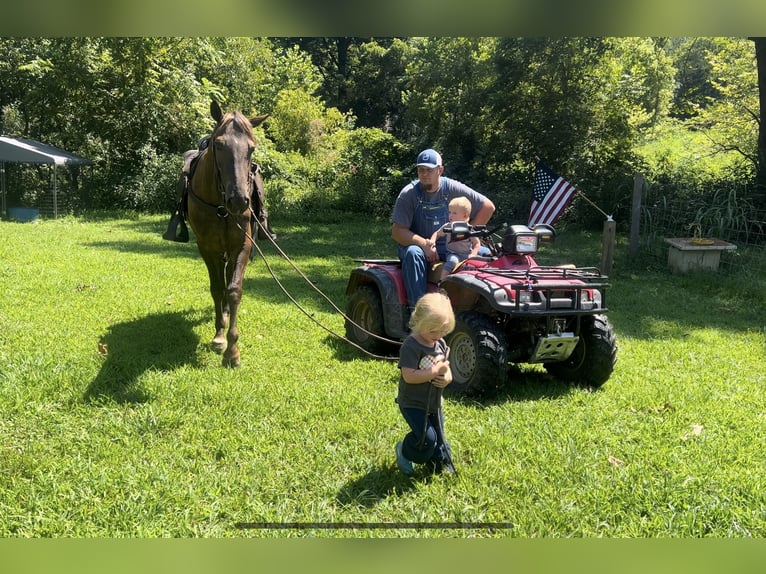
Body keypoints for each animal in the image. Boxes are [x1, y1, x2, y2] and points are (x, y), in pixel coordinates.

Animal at [188, 100, 270, 366]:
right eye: (219, 144)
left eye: (252, 149)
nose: (239, 200)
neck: (222, 208)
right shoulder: (207, 248)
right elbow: (216, 288)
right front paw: (219, 336)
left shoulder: (241, 246)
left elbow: (233, 290)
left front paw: (233, 350)